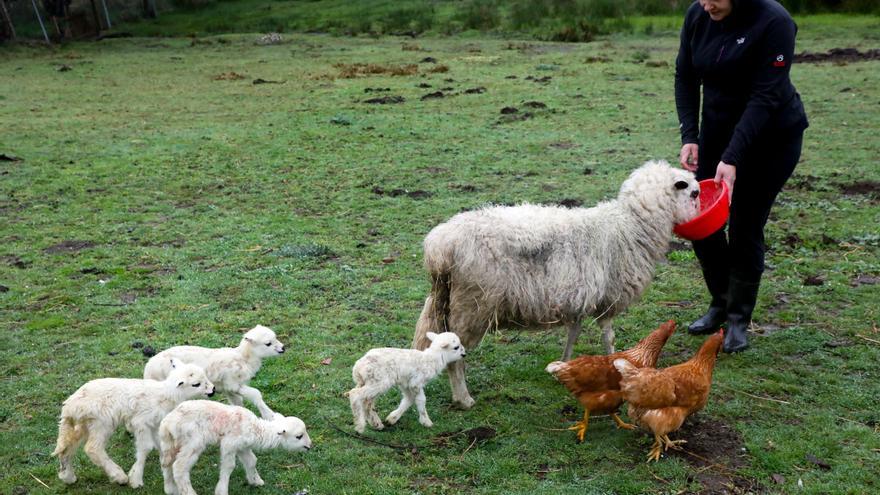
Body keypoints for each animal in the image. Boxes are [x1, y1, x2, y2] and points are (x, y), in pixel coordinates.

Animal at [52, 362, 215, 490]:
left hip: (83, 425)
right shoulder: (141, 421)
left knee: (67, 448)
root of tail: (69, 406)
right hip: (101, 422)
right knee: (93, 449)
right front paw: (136, 479)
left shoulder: (155, 424)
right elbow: (145, 448)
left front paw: (164, 462)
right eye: (196, 384)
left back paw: (68, 476)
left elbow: (160, 445)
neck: (166, 394)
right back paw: (119, 476)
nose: (213, 390)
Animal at [143, 328, 284, 420]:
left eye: (276, 337)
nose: (283, 348)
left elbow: (237, 402)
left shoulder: (228, 388)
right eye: (268, 343)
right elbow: (256, 393)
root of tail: (148, 368)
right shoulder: (232, 383)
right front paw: (269, 415)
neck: (244, 358)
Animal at [160, 402, 312, 495]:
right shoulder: (229, 444)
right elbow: (229, 466)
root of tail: (168, 423)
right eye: (299, 436)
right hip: (193, 441)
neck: (256, 429)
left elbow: (252, 461)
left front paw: (256, 481)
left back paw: (170, 489)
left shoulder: (242, 446)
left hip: (171, 442)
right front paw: (221, 490)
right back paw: (188, 492)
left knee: (166, 463)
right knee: (179, 467)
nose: (309, 446)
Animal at [412, 161, 700, 408]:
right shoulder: (608, 299)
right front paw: (616, 366)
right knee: (454, 358)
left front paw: (563, 364)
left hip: (442, 300)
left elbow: (574, 332)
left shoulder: (581, 299)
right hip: (474, 305)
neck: (630, 226)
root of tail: (440, 246)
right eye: (694, 193)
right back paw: (464, 398)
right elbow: (609, 337)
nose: (699, 212)